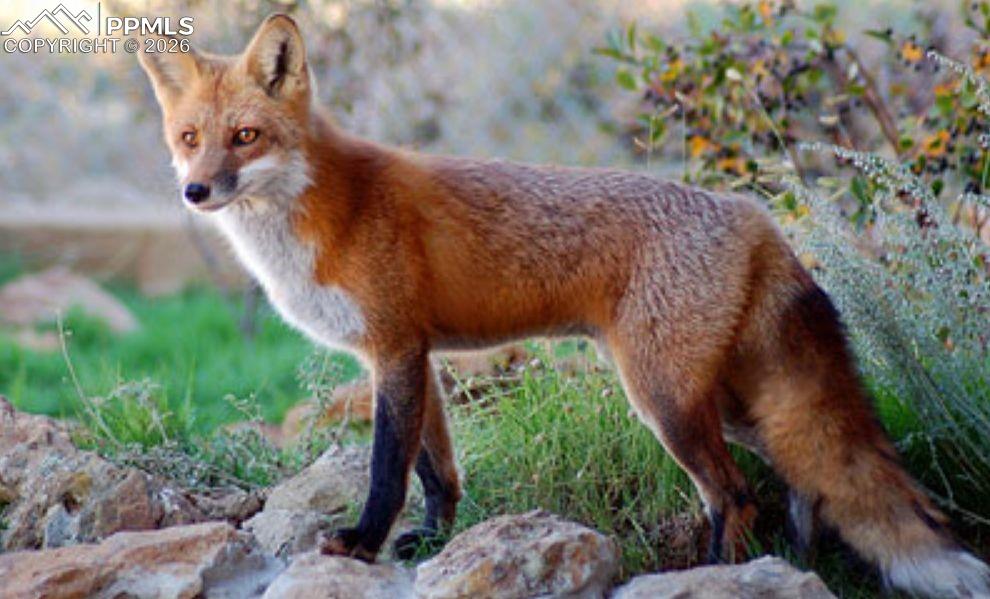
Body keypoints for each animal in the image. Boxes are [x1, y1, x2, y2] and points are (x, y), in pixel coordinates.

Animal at [137, 14, 990, 597]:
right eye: (190, 138)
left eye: (246, 137)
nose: (195, 190)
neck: (326, 209)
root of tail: (754, 215)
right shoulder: (416, 355)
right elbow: (438, 470)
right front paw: (429, 542)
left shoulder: (394, 351)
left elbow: (386, 468)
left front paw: (362, 543)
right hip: (726, 401)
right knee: (803, 479)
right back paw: (795, 565)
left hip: (665, 400)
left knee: (736, 493)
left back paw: (717, 574)